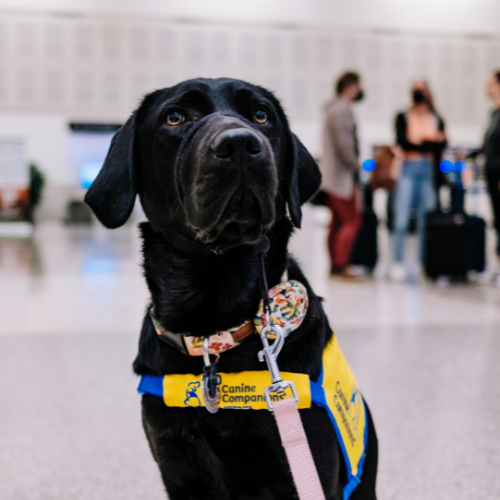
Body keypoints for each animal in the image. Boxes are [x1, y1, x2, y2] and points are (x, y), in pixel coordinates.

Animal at [86, 78, 376, 500]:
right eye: (175, 117)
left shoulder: (305, 467)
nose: (239, 144)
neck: (213, 332)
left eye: (261, 114)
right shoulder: (175, 468)